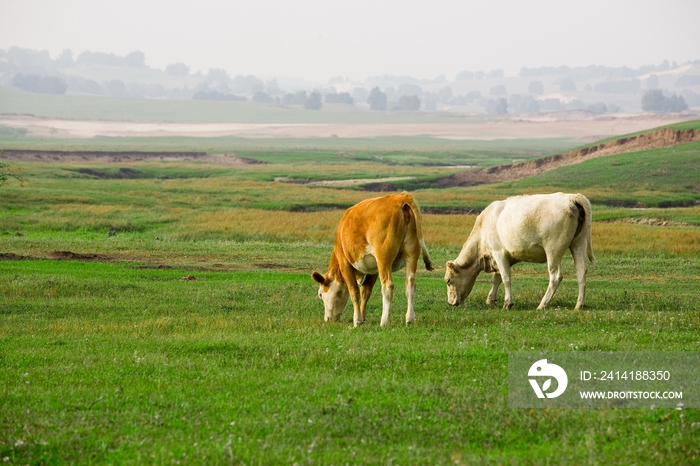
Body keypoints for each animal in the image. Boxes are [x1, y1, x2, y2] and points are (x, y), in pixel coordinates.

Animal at [312, 193, 432, 328]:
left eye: (320, 294)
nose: (327, 319)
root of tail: (401, 197)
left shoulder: (345, 263)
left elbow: (354, 291)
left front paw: (357, 320)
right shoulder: (373, 269)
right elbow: (366, 291)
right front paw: (363, 317)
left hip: (384, 258)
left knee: (387, 286)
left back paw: (384, 321)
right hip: (411, 254)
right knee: (410, 284)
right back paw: (410, 319)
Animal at [446, 193, 592, 310]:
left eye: (448, 280)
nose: (450, 303)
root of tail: (571, 197)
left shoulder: (498, 252)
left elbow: (505, 278)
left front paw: (508, 303)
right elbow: (496, 278)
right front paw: (491, 299)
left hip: (553, 249)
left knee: (555, 276)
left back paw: (542, 304)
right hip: (578, 243)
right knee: (581, 271)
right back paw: (579, 305)